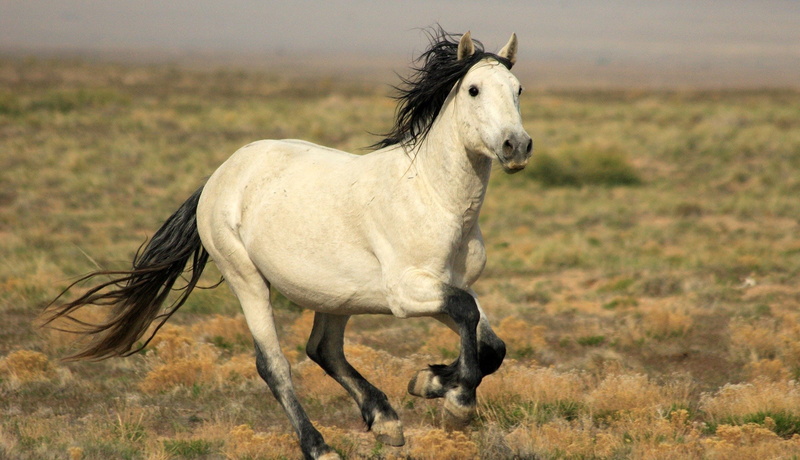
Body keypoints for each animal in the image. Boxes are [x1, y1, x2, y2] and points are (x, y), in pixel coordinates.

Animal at [44, 29, 532, 460]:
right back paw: (320, 446)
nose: (517, 146)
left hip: (338, 296)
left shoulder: (448, 287)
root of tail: (220, 175)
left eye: (518, 89)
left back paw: (386, 421)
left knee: (324, 350)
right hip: (247, 281)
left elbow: (491, 345)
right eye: (473, 90)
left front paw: (428, 381)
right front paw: (456, 402)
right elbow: (469, 317)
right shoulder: (407, 294)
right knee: (274, 365)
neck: (433, 198)